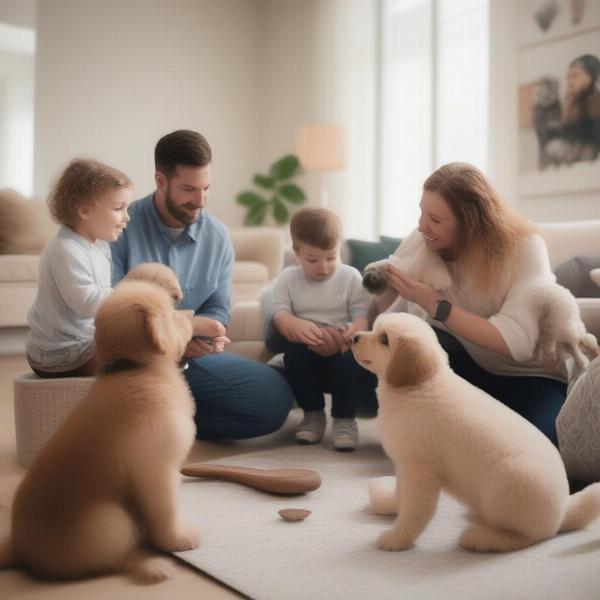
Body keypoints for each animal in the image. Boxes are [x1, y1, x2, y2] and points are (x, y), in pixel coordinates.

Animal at [1, 280, 200, 580]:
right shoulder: (157, 470)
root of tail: (20, 549)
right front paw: (178, 540)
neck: (135, 370)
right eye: (171, 313)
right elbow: (165, 511)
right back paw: (154, 566)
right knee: (117, 559)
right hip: (111, 519)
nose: (191, 315)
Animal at [352, 314, 600, 552]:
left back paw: (480, 538)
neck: (419, 386)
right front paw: (389, 503)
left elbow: (414, 510)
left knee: (526, 537)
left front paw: (397, 538)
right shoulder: (404, 468)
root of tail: (561, 513)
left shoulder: (419, 470)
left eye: (384, 339)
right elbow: (400, 494)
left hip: (504, 489)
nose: (354, 337)